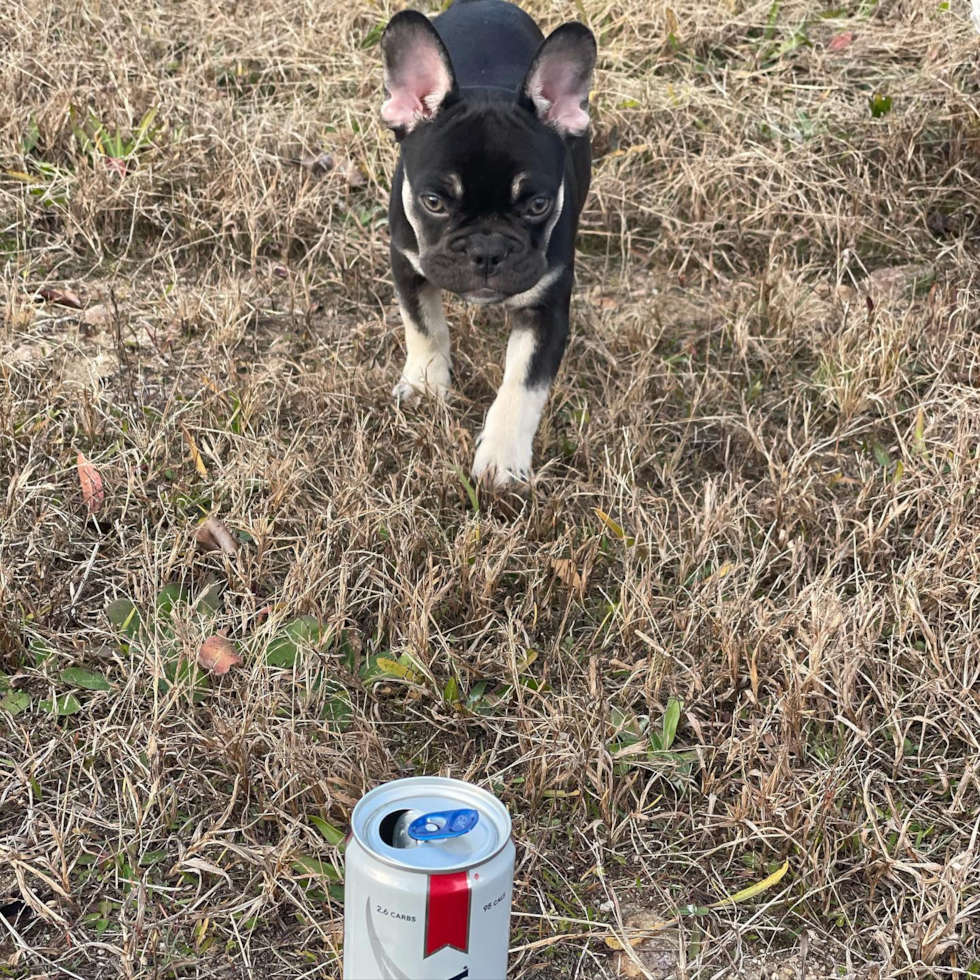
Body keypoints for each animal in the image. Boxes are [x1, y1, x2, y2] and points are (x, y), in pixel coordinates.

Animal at [380, 0, 596, 486]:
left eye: (537, 205)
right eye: (434, 202)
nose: (487, 251)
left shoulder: (547, 309)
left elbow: (524, 384)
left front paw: (502, 458)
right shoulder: (407, 262)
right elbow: (423, 326)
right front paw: (427, 384)